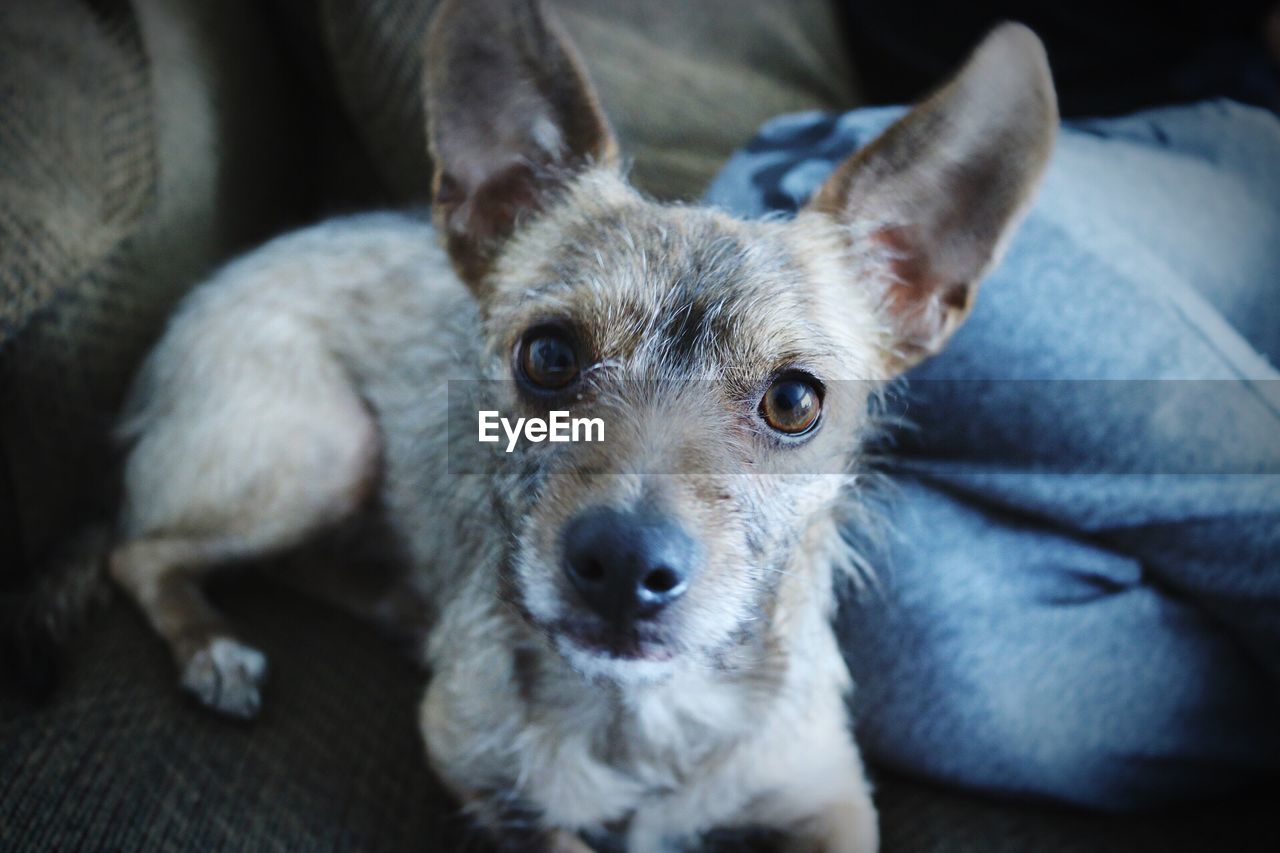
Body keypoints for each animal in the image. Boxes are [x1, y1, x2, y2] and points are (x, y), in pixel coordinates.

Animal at [92, 3, 1059, 845]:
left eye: (795, 402)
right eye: (548, 355)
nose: (624, 564)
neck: (652, 710)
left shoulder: (833, 803)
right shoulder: (478, 772)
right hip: (323, 451)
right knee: (137, 551)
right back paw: (215, 647)